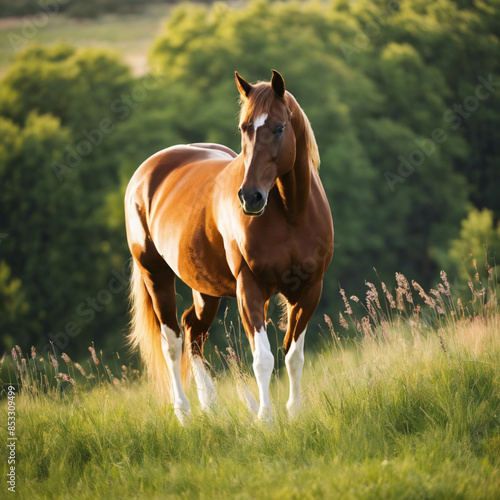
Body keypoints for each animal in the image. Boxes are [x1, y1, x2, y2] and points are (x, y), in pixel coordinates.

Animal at [127, 69, 334, 422]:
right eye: (244, 128)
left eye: (279, 127)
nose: (250, 197)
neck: (292, 213)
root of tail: (145, 173)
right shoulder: (249, 289)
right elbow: (263, 359)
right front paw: (266, 419)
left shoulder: (309, 290)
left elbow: (293, 355)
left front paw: (294, 413)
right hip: (156, 277)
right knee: (173, 342)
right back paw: (184, 413)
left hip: (204, 289)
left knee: (193, 332)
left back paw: (210, 405)